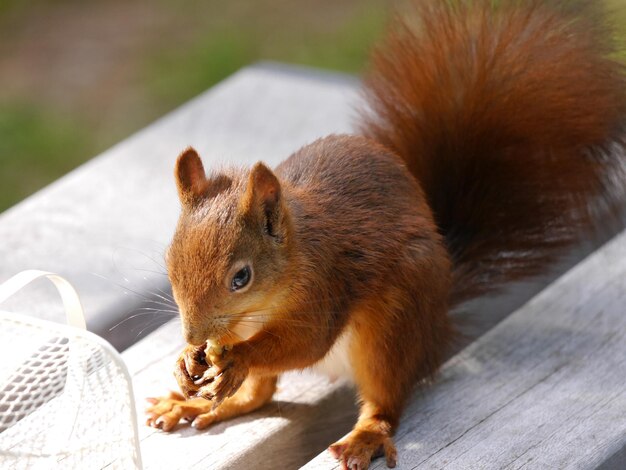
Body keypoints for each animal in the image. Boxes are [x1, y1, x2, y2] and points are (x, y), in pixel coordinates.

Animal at [145, 1, 624, 468]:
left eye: (241, 278)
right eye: (170, 263)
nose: (192, 334)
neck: (265, 302)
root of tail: (435, 329)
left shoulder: (324, 287)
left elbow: (306, 344)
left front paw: (236, 357)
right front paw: (187, 361)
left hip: (392, 326)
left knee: (384, 399)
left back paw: (365, 436)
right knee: (259, 394)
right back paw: (199, 404)